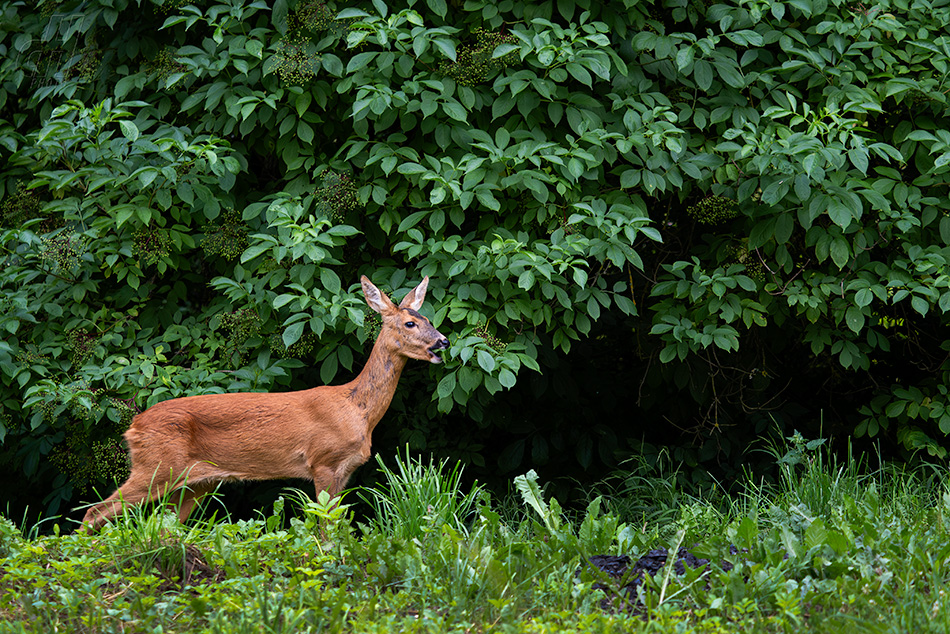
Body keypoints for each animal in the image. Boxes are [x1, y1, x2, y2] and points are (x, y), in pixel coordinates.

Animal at [82, 276, 450, 528]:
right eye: (410, 323)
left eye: (431, 321)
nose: (443, 342)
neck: (357, 409)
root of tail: (133, 426)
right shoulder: (322, 461)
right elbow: (325, 528)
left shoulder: (345, 471)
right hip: (157, 465)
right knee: (94, 511)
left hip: (195, 481)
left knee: (163, 525)